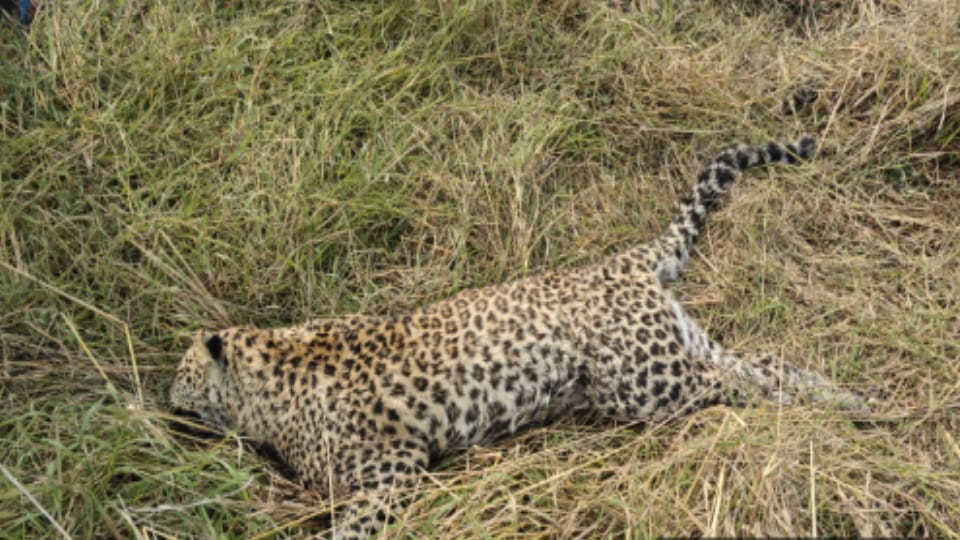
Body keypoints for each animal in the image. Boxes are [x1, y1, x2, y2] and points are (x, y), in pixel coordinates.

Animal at [169, 134, 867, 539]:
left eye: (182, 375)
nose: (167, 405)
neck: (271, 382)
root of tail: (623, 260)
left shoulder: (392, 471)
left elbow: (351, 529)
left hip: (645, 382)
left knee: (747, 381)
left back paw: (842, 409)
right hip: (677, 349)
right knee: (766, 361)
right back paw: (848, 399)